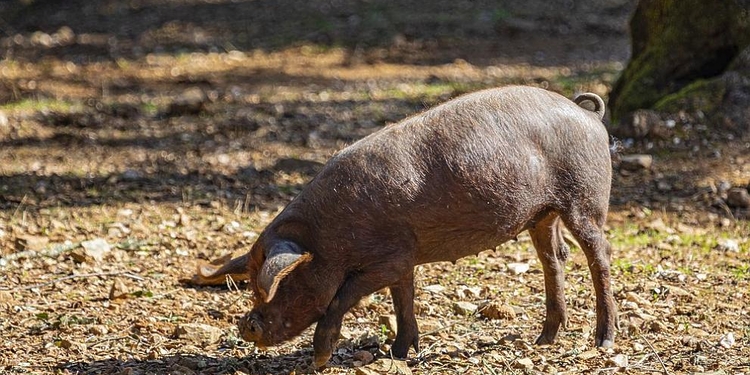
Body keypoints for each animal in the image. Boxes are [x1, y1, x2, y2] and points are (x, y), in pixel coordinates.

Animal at [200, 84, 616, 368]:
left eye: (279, 284)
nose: (246, 326)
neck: (327, 236)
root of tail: (588, 115)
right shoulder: (404, 257)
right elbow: (403, 299)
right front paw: (400, 353)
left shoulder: (386, 260)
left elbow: (341, 297)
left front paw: (320, 361)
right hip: (542, 214)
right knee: (554, 258)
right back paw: (543, 340)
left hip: (586, 197)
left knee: (599, 256)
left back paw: (603, 341)